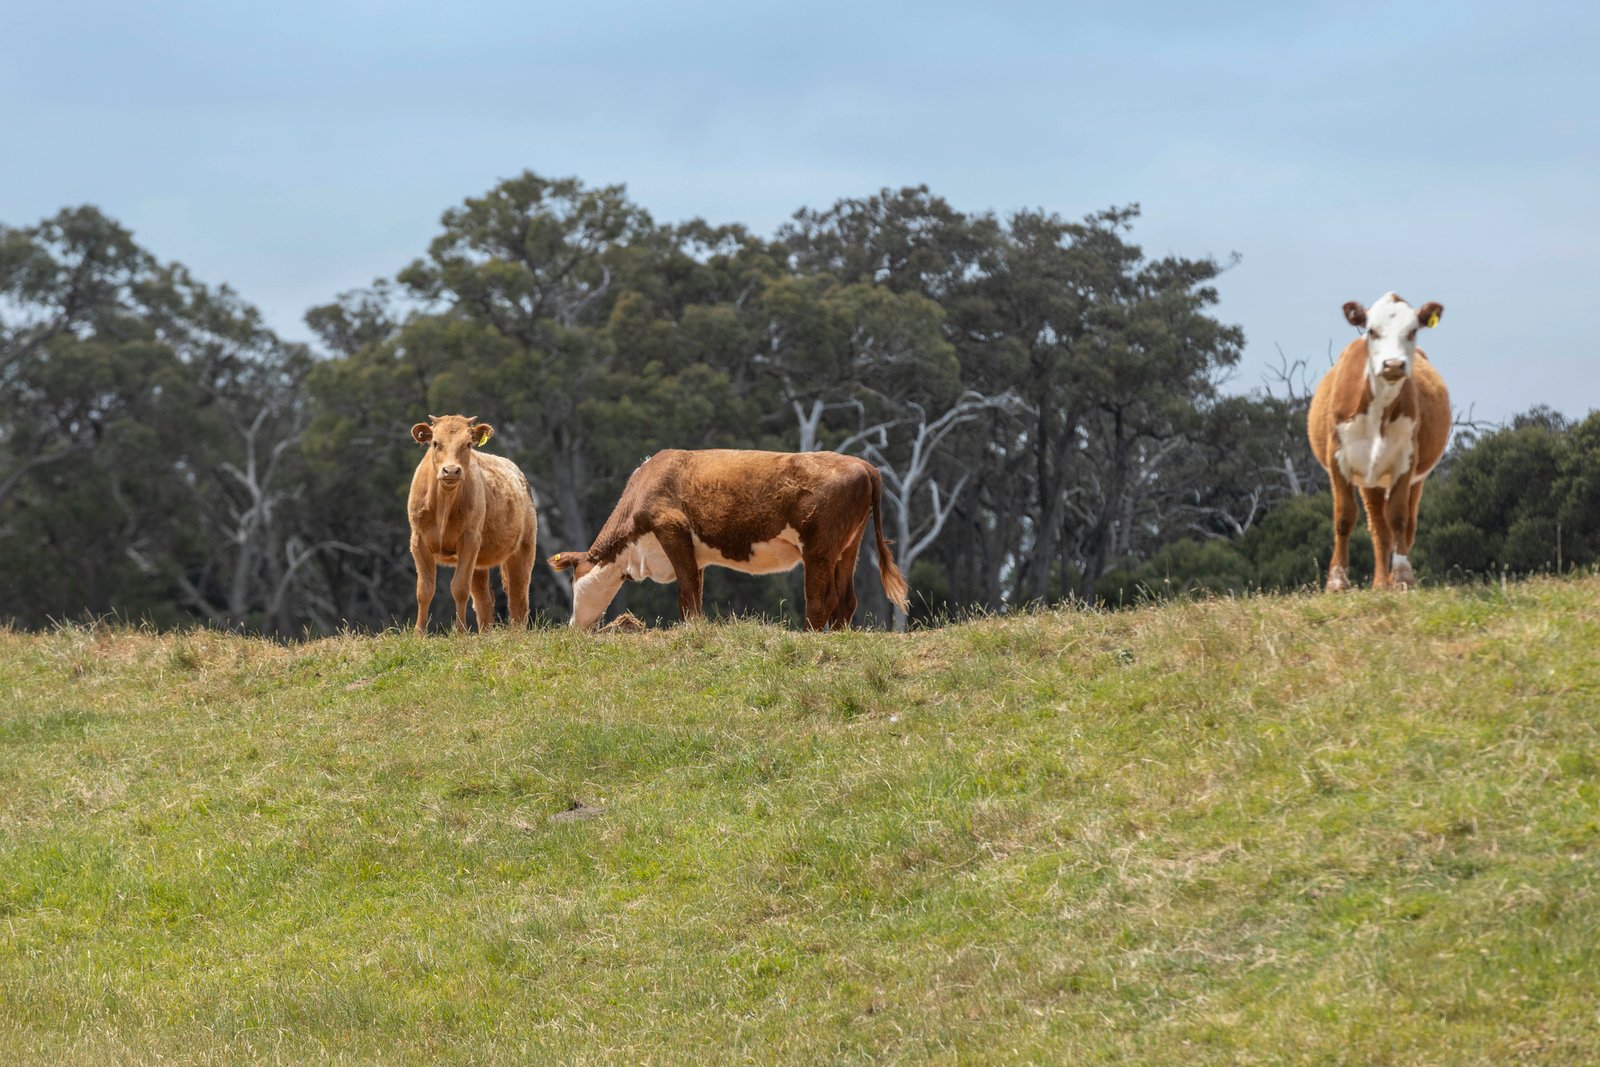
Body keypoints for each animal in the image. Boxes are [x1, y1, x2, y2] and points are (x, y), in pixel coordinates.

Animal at [409, 415, 540, 633]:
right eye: (435, 443)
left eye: (468, 444)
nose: (451, 470)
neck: (443, 503)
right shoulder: (418, 540)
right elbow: (424, 590)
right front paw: (419, 633)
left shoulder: (469, 539)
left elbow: (459, 588)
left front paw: (460, 633)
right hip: (480, 561)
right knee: (484, 600)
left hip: (523, 549)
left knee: (518, 599)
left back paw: (516, 636)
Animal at [547, 447, 908, 630]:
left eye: (574, 579)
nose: (574, 626)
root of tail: (861, 464)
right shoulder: (694, 553)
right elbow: (695, 590)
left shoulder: (672, 530)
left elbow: (687, 596)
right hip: (848, 548)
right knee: (846, 600)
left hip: (818, 549)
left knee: (821, 601)